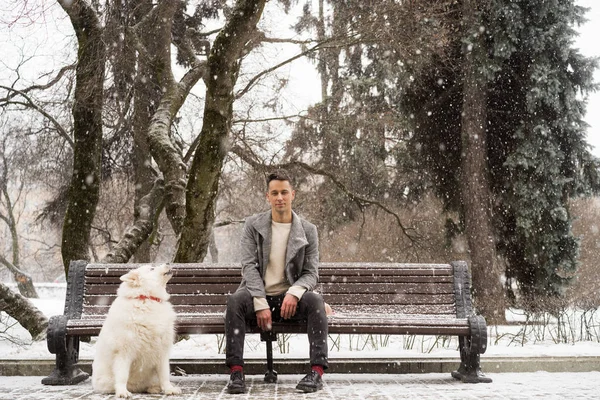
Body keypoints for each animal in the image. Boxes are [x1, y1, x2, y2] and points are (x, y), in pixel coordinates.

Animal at [91, 264, 180, 398]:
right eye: (152, 268)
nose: (168, 263)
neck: (146, 298)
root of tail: (137, 387)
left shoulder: (162, 351)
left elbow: (164, 375)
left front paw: (169, 389)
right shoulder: (123, 352)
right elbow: (122, 376)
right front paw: (122, 392)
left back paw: (154, 388)